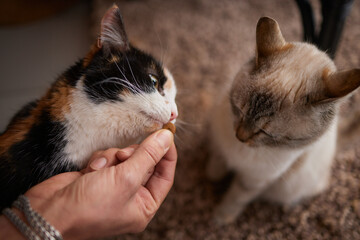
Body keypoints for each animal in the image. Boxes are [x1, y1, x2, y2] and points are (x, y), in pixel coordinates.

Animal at [207, 17, 360, 225]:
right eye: (239, 111)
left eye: (265, 132)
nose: (240, 137)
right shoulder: (221, 143)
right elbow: (218, 160)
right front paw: (212, 174)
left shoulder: (253, 181)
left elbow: (235, 198)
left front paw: (220, 218)